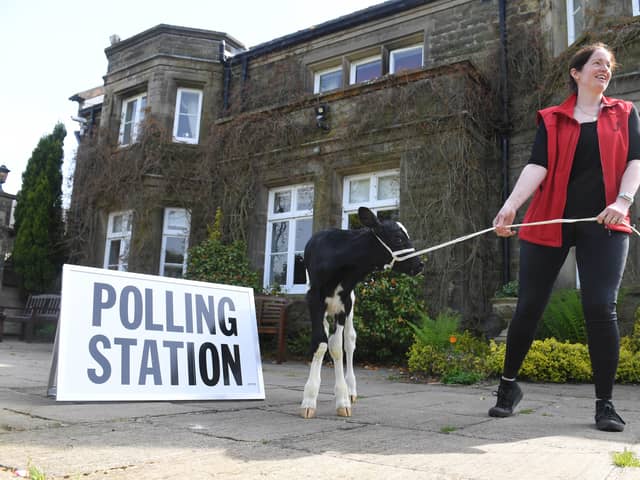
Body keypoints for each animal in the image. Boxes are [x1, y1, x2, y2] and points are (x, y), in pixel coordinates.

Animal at [302, 206, 424, 420]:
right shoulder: (314, 300)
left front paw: (342, 398)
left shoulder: (344, 304)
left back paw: (350, 390)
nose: (419, 265)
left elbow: (336, 347)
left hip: (351, 303)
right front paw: (309, 399)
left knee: (349, 342)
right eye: (398, 238)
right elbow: (320, 343)